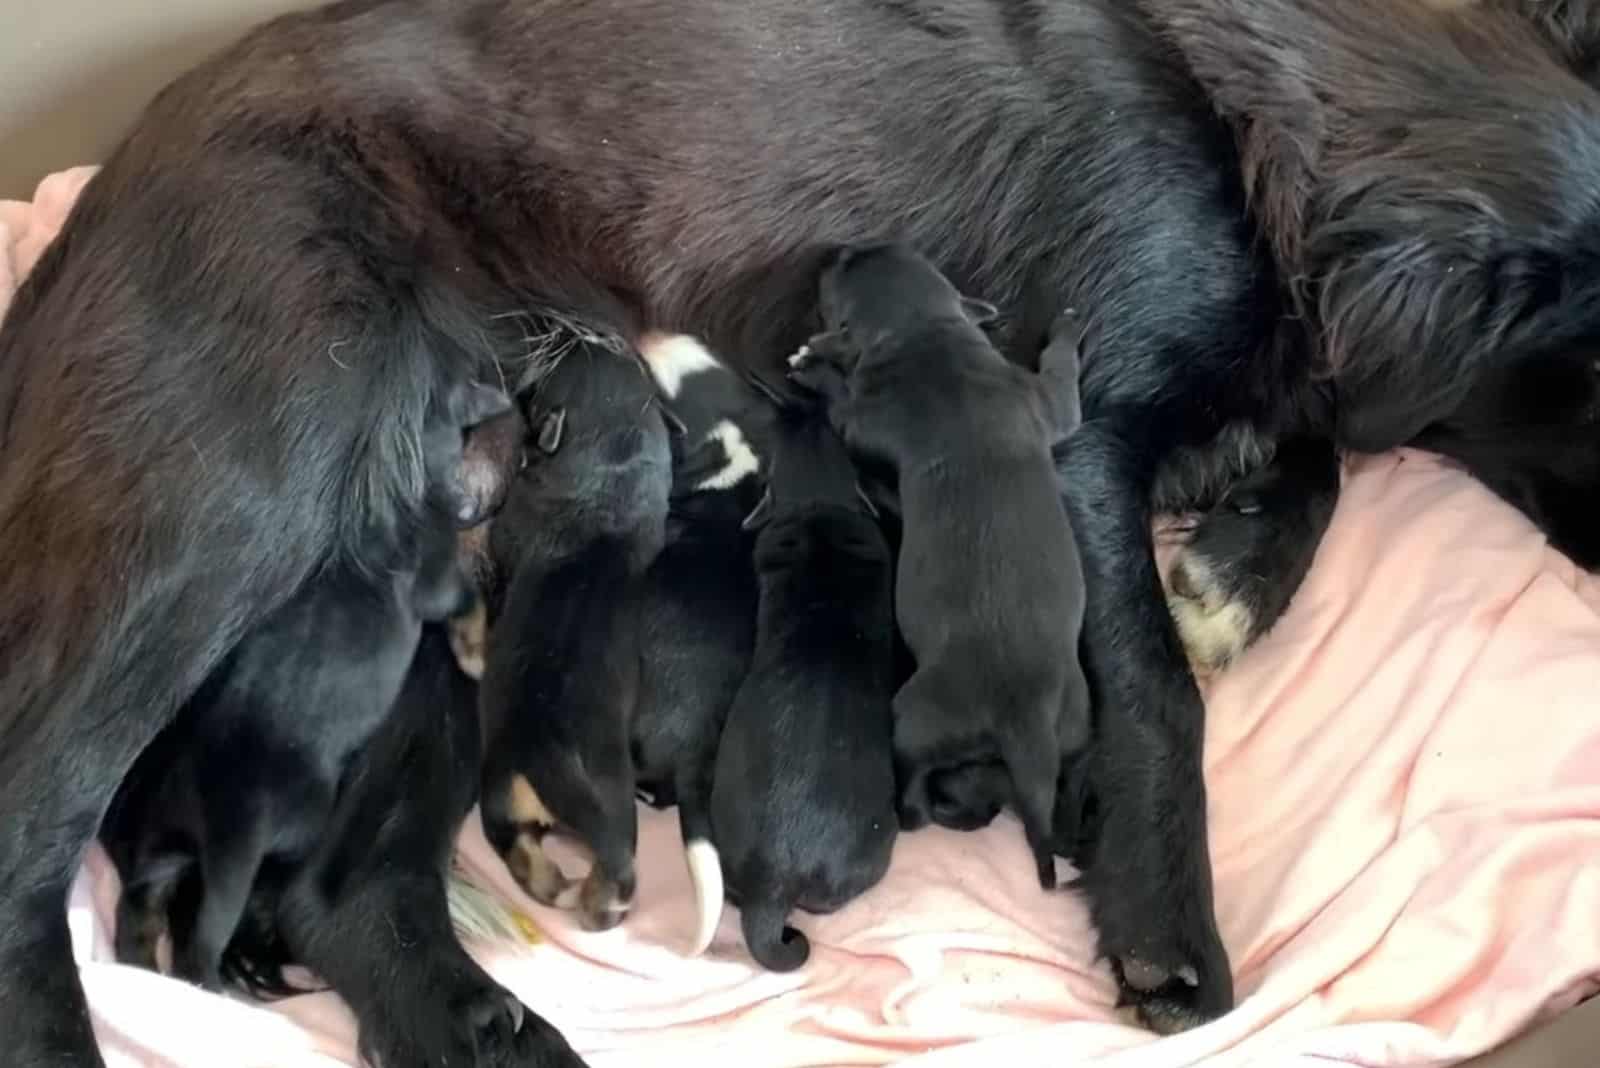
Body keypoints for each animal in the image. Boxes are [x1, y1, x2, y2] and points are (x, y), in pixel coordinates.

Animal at [98, 378, 512, 991]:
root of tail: (225, 818)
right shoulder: (438, 579)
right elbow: (464, 600)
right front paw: (475, 647)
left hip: (165, 840)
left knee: (142, 901)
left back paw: (145, 965)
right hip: (292, 832)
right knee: (206, 935)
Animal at [790, 244, 1094, 895]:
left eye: (840, 272)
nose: (829, 251)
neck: (928, 331)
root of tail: (1025, 721)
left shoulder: (863, 417)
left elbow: (840, 406)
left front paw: (815, 366)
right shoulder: (1041, 400)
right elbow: (1060, 377)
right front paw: (1067, 329)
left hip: (916, 717)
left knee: (913, 786)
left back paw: (910, 810)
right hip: (1076, 722)